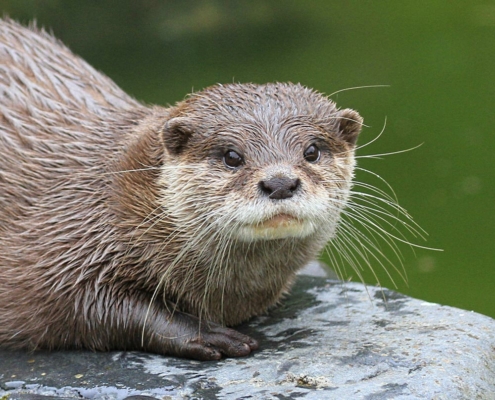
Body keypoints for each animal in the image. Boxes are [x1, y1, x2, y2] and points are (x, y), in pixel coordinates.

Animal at [0, 20, 364, 360]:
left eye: (312, 151)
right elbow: (85, 305)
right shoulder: (58, 249)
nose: (279, 182)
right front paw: (205, 333)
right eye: (232, 156)